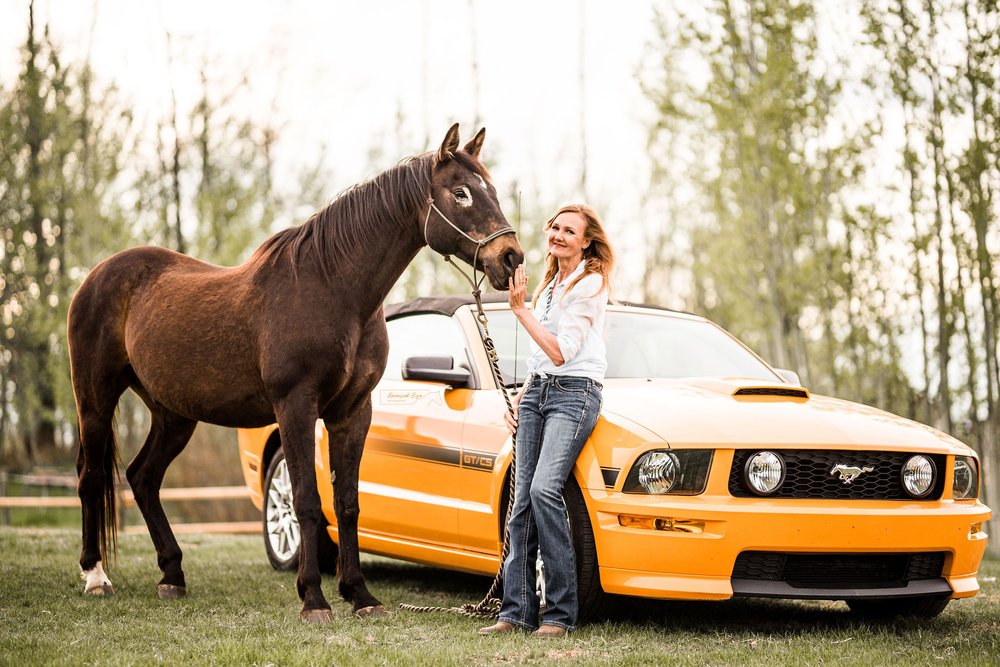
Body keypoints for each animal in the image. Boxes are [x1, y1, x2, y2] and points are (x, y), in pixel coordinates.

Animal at [68, 124, 524, 620]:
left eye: (492, 189)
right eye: (460, 192)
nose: (511, 257)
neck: (332, 290)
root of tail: (96, 275)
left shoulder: (352, 413)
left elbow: (347, 503)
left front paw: (360, 594)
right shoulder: (296, 406)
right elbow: (306, 499)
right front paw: (313, 598)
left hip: (173, 414)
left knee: (143, 478)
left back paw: (172, 575)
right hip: (95, 400)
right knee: (92, 476)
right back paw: (95, 576)